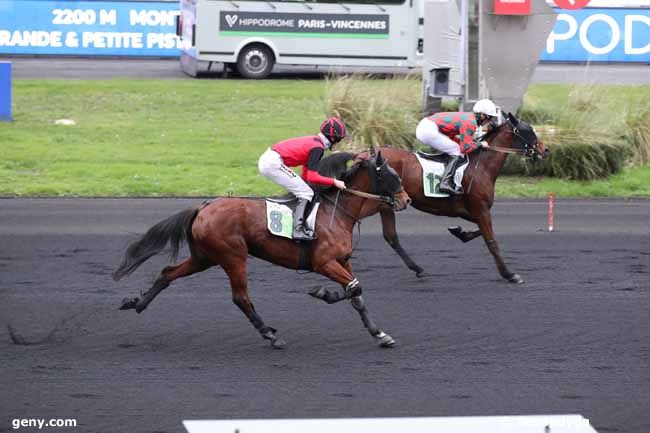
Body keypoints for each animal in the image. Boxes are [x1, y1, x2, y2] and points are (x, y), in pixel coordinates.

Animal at [113, 152, 408, 348]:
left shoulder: (343, 260)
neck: (335, 213)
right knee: (240, 297)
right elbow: (353, 288)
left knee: (168, 272)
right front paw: (321, 292)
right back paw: (269, 333)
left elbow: (357, 294)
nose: (406, 199)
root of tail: (204, 207)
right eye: (389, 174)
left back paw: (137, 303)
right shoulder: (324, 263)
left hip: (204, 257)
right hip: (233, 256)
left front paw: (380, 334)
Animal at [368, 111, 544, 282]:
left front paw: (460, 232)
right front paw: (509, 274)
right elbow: (491, 242)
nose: (545, 150)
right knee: (390, 236)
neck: (482, 167)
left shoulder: (471, 211)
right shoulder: (480, 209)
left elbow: (479, 231)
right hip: (385, 203)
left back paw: (417, 269)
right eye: (529, 131)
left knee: (390, 237)